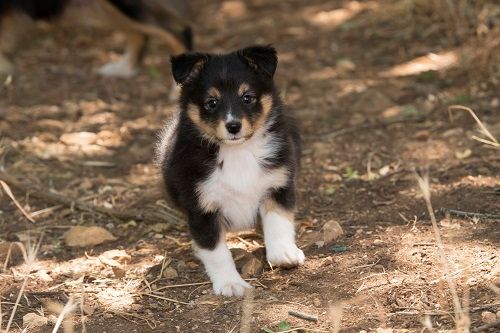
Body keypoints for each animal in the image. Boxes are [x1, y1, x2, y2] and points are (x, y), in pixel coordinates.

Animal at [156, 44, 304, 296]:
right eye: (211, 102)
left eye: (247, 97)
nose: (233, 126)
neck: (238, 152)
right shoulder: (202, 207)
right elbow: (216, 251)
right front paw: (230, 283)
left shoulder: (278, 183)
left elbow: (279, 221)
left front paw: (284, 253)